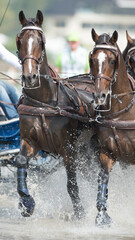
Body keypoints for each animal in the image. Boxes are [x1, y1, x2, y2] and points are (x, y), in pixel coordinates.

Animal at [15, 10, 95, 218]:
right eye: (20, 40)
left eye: (40, 41)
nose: (29, 77)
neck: (44, 103)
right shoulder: (30, 141)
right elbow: (20, 160)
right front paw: (26, 202)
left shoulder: (68, 149)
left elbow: (72, 185)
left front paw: (80, 213)